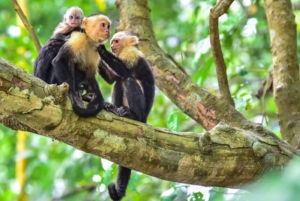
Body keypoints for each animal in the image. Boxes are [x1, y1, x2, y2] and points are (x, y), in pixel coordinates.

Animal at [98, 31, 156, 201]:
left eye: (116, 41)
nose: (111, 45)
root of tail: (145, 119)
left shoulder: (132, 54)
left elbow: (126, 72)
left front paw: (101, 50)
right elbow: (112, 79)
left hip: (142, 112)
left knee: (128, 79)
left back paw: (132, 115)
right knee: (119, 82)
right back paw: (113, 108)